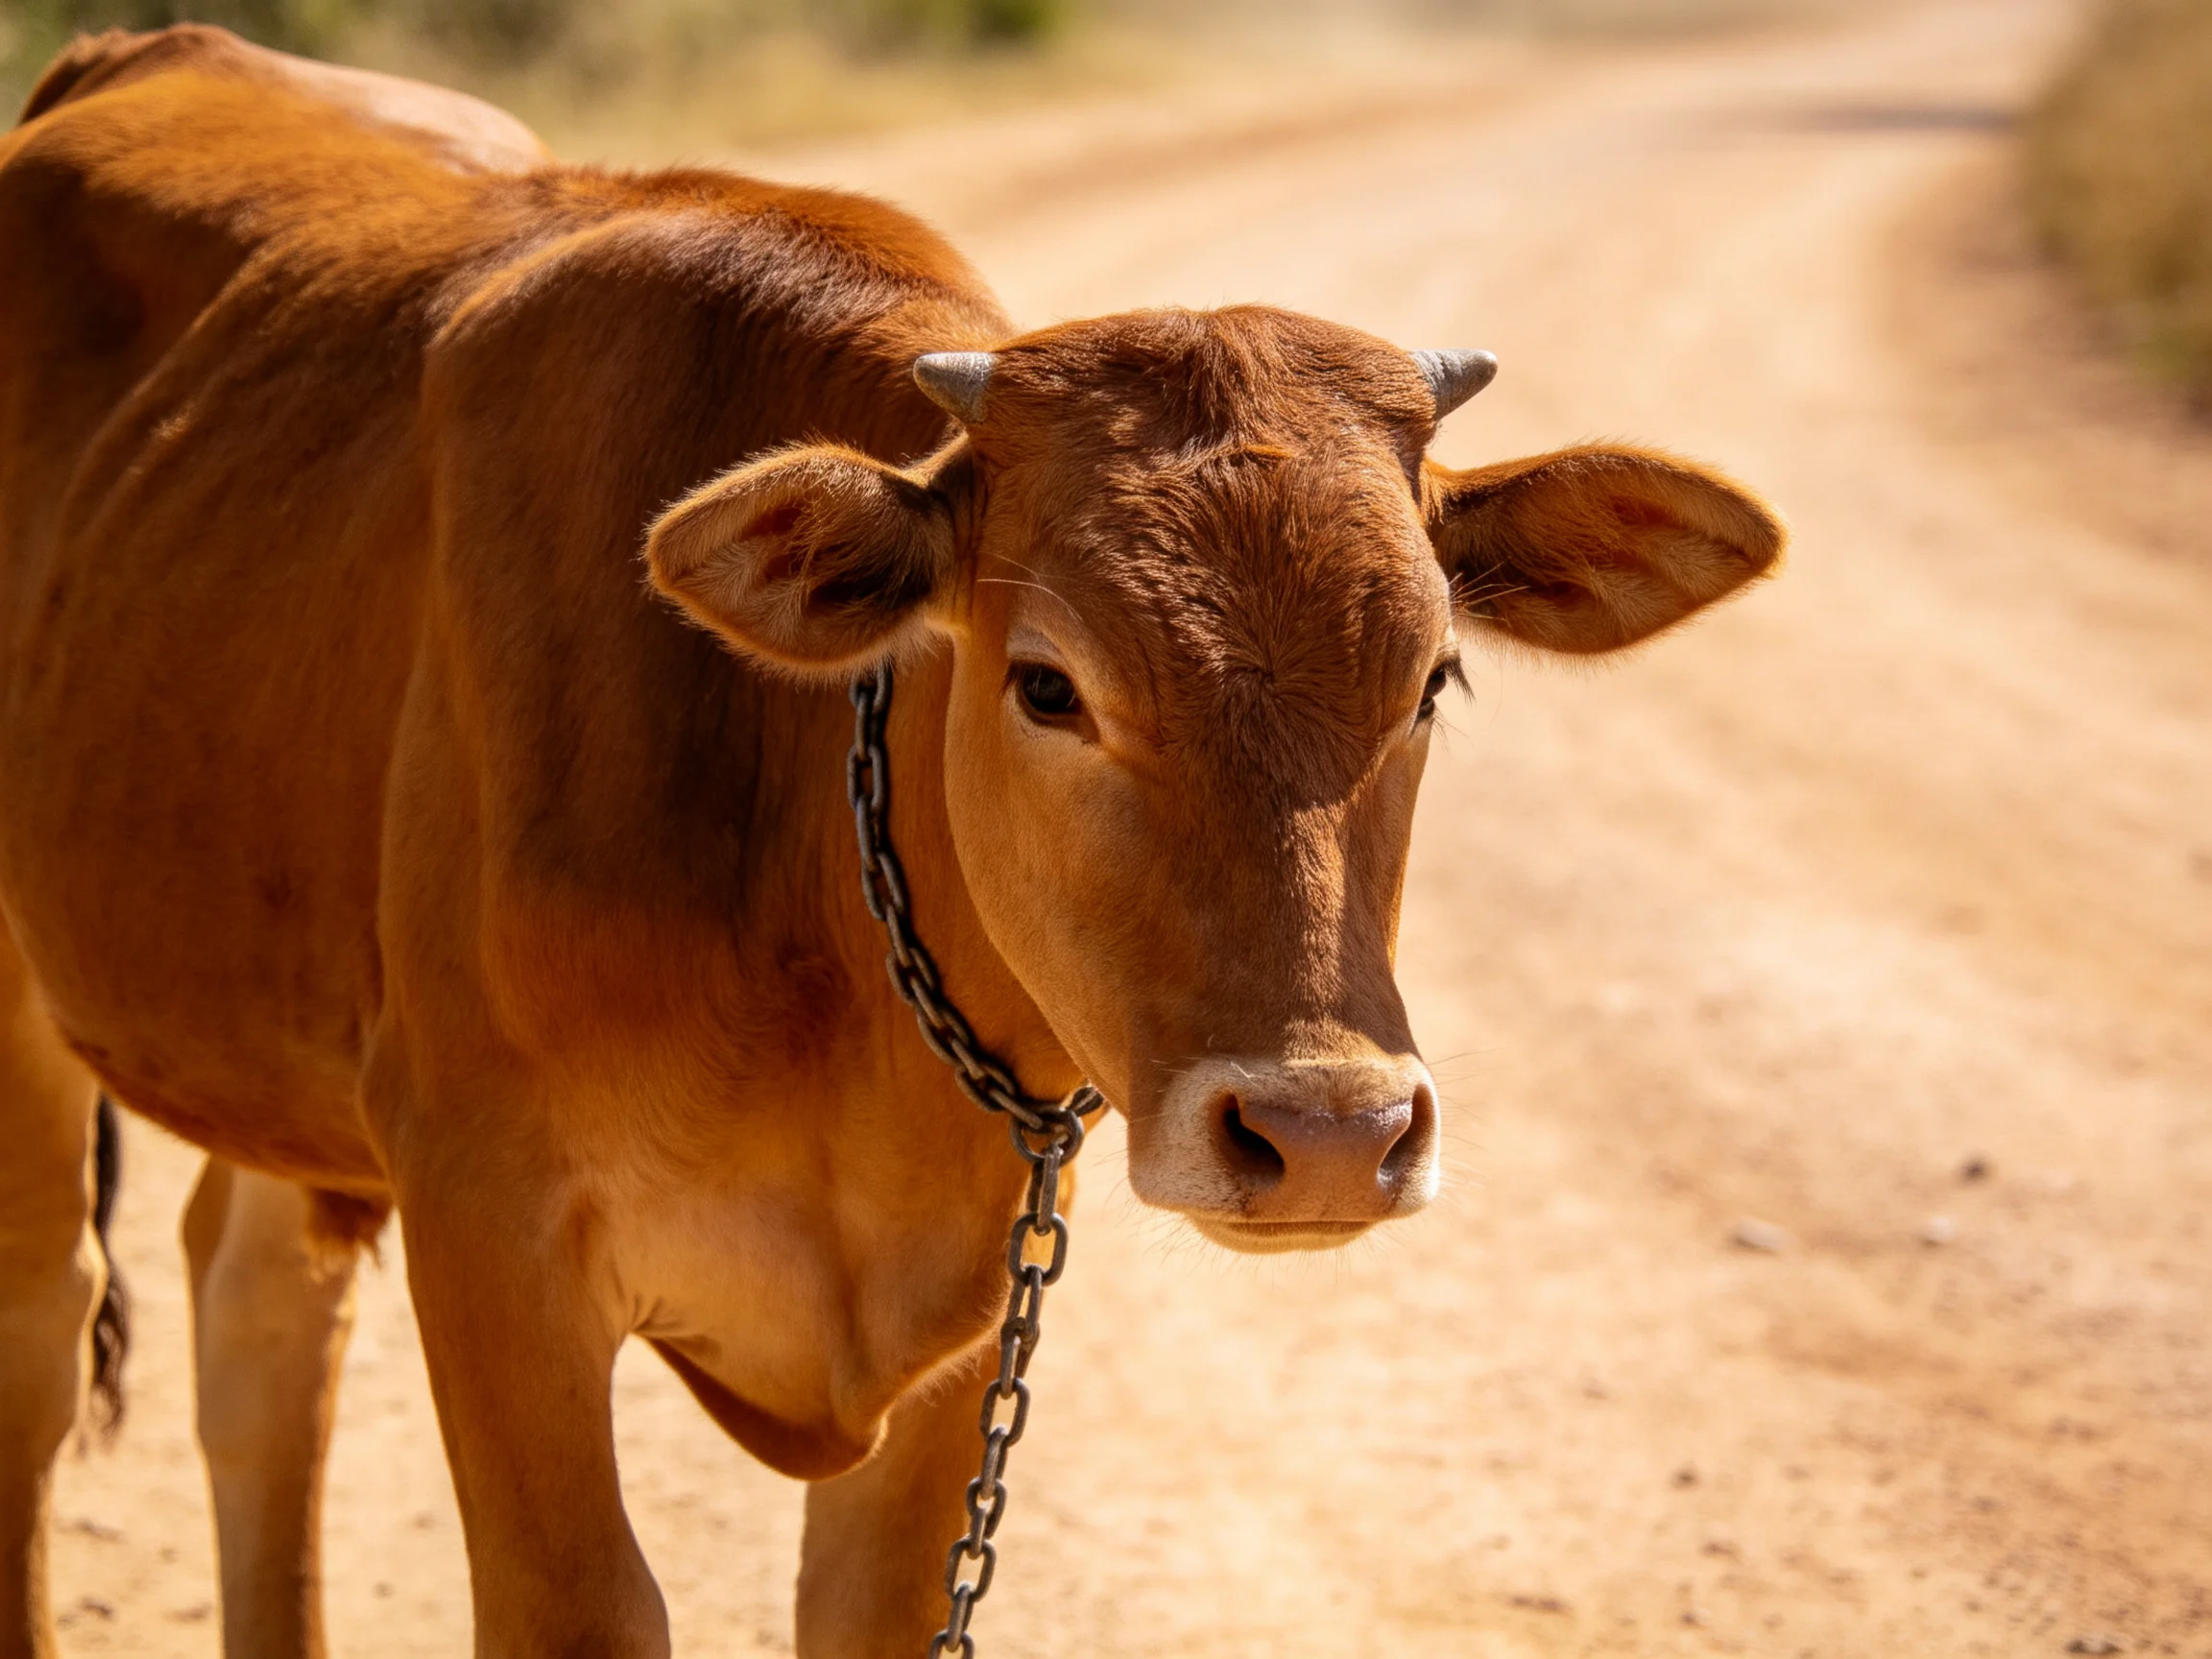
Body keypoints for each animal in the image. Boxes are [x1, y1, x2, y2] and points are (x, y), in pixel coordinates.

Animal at [0, 24, 1783, 1658]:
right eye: (1045, 683)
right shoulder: (487, 1222)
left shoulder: (968, 1303)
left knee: (256, 1322)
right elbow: (579, 1601)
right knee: (42, 1336)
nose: (1329, 1132)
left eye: (1433, 675)